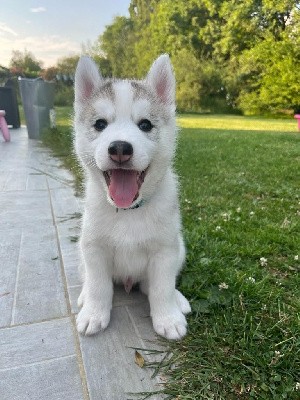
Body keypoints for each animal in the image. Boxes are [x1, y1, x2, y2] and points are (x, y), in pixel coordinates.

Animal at [73, 54, 190, 340]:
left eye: (145, 125)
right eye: (100, 124)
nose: (119, 148)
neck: (128, 211)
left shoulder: (165, 250)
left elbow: (161, 287)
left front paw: (168, 317)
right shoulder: (93, 247)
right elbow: (99, 285)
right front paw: (94, 313)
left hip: (180, 248)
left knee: (152, 285)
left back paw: (177, 299)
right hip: (80, 251)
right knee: (88, 278)